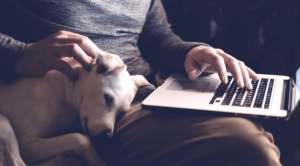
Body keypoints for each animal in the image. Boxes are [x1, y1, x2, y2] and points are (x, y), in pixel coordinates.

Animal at [0, 51, 155, 166]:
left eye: (122, 112)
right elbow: (80, 138)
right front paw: (97, 161)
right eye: (108, 98)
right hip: (5, 124)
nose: (106, 137)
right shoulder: (27, 143)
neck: (64, 98)